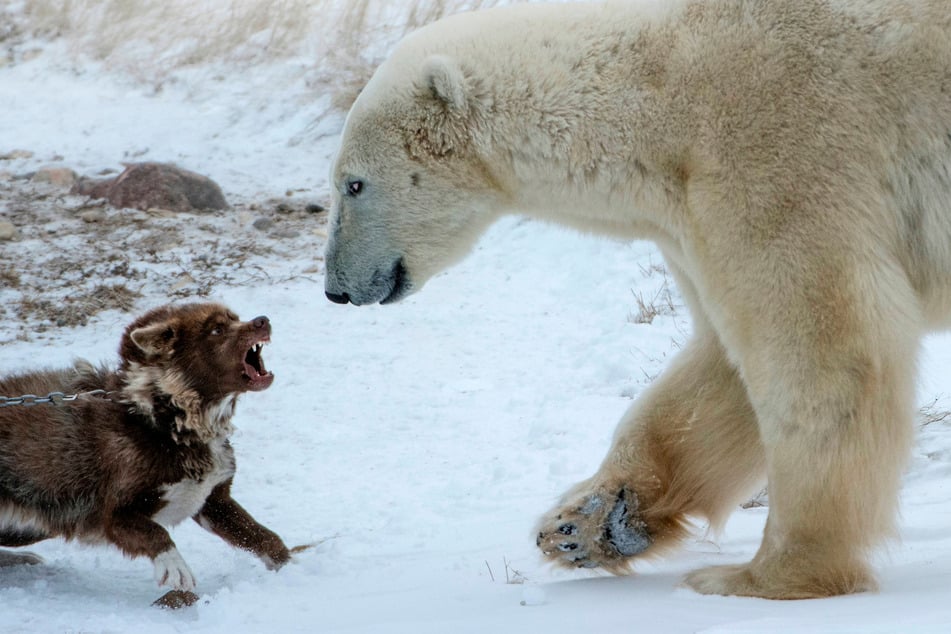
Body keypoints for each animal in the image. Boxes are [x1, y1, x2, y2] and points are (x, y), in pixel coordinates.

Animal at [0, 304, 290, 604]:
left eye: (235, 319)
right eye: (216, 330)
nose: (262, 320)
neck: (166, 419)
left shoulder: (214, 503)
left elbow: (265, 539)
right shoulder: (113, 516)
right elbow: (155, 532)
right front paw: (174, 565)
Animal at [324, 0, 951, 596]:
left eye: (353, 183)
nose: (335, 289)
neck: (662, 96)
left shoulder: (780, 159)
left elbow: (825, 353)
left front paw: (764, 575)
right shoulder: (690, 219)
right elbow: (718, 370)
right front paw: (586, 524)